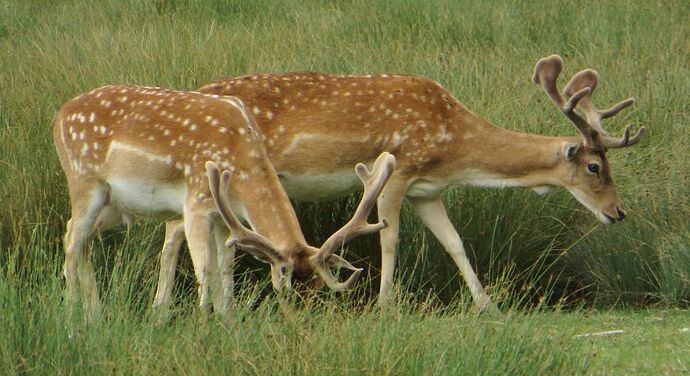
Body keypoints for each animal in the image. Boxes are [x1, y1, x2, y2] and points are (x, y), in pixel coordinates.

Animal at [52, 85, 398, 320]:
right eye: (283, 287)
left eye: (318, 287)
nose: (298, 324)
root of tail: (58, 116)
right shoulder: (195, 202)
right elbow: (205, 269)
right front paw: (206, 324)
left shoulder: (222, 216)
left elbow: (226, 270)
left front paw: (228, 322)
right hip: (83, 182)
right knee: (72, 240)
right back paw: (71, 322)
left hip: (113, 204)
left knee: (79, 238)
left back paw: (95, 316)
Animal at [149, 53, 640, 312]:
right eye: (595, 167)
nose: (618, 212)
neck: (453, 147)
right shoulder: (399, 171)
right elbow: (390, 238)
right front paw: (386, 306)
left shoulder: (429, 191)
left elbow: (455, 242)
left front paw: (487, 305)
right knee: (177, 233)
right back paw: (166, 307)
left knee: (179, 234)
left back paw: (167, 309)